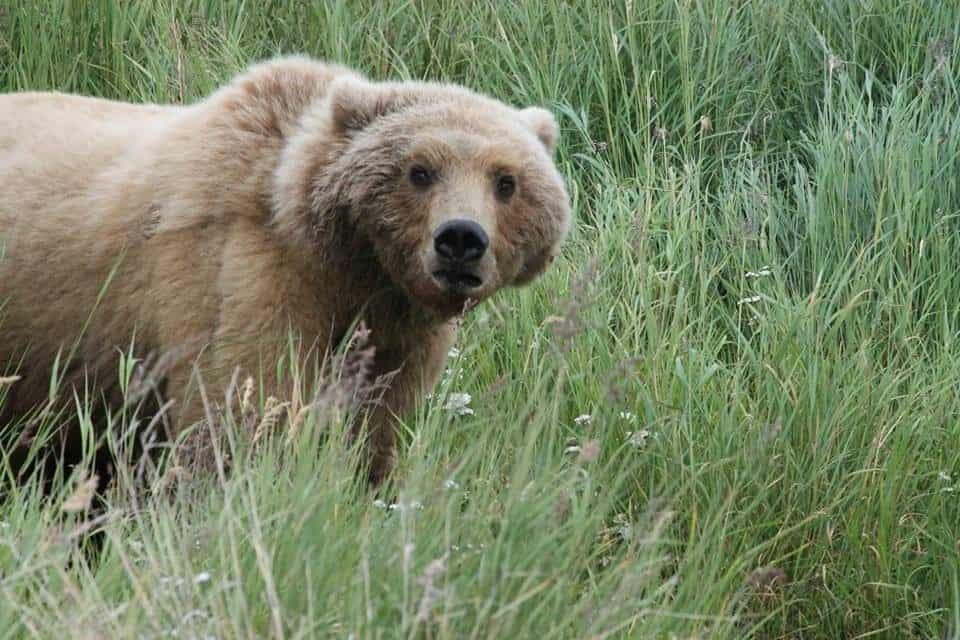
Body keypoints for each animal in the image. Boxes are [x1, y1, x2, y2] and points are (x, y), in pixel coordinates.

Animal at [0, 55, 571, 487]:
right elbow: (242, 412)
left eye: (506, 181)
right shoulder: (247, 272)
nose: (460, 239)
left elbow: (375, 428)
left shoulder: (397, 336)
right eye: (420, 170)